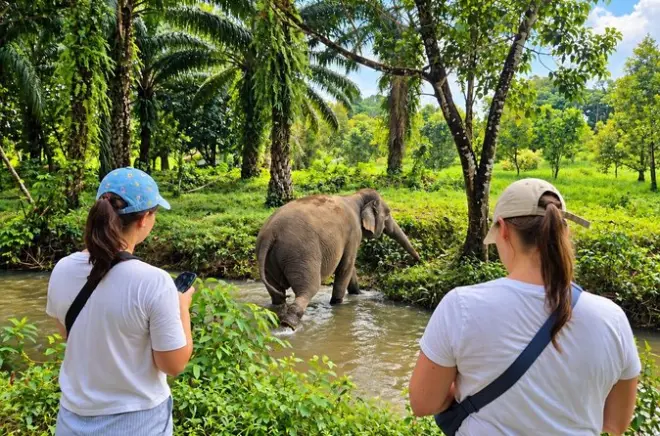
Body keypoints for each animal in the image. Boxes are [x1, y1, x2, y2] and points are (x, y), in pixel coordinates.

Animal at [256, 188, 421, 329]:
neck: (356, 196)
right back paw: (289, 325)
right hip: (300, 255)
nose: (418, 261)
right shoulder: (354, 233)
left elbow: (350, 266)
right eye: (387, 214)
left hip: (269, 260)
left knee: (277, 293)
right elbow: (346, 266)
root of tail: (270, 234)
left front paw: (358, 295)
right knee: (308, 289)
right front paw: (338, 304)